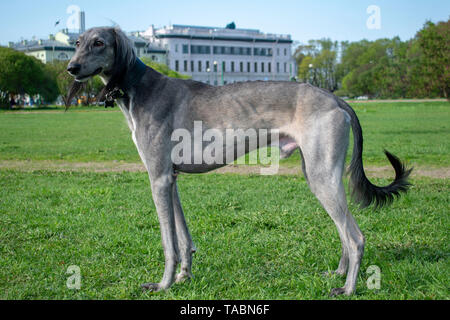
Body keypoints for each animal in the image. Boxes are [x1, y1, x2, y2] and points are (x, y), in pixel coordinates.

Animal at [66, 27, 412, 296]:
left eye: (99, 42)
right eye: (77, 42)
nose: (71, 67)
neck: (139, 86)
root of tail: (335, 97)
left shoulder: (158, 179)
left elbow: (168, 242)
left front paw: (163, 284)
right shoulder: (170, 178)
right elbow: (183, 238)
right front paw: (184, 276)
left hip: (322, 176)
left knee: (356, 237)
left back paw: (349, 288)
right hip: (319, 173)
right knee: (344, 231)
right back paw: (338, 273)